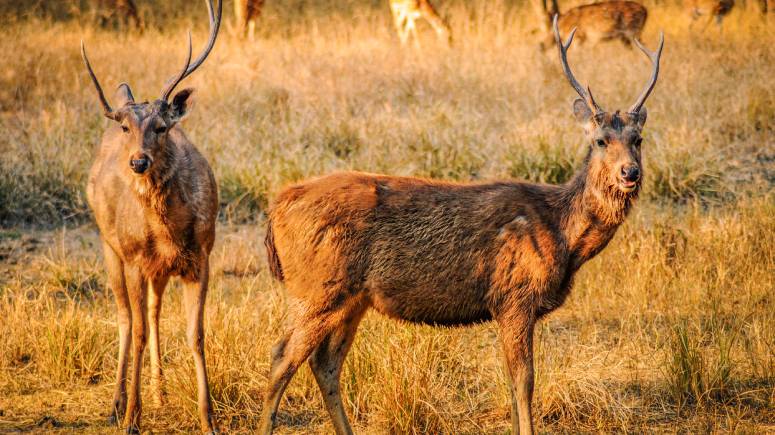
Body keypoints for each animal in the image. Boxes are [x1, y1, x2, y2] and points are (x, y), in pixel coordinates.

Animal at [80, 1, 223, 434]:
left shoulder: (201, 256)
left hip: (157, 270)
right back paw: (117, 403)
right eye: (127, 127)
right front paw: (132, 417)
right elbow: (139, 331)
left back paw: (159, 392)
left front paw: (208, 419)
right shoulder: (134, 258)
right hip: (110, 247)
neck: (169, 231)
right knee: (127, 318)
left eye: (161, 126)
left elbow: (196, 334)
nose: (138, 162)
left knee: (155, 312)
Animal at [258, 12, 664, 435]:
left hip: (351, 297)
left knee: (325, 362)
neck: (562, 233)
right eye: (600, 140)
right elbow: (524, 381)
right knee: (282, 356)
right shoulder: (514, 295)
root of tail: (278, 205)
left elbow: (513, 382)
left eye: (638, 139)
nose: (630, 172)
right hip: (317, 287)